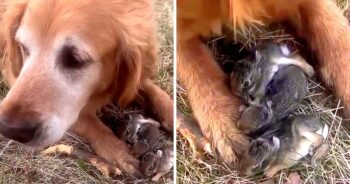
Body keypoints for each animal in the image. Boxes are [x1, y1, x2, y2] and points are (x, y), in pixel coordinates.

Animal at [0, 0, 174, 174]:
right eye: (22, 47)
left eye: (75, 60)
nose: (9, 129)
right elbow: (90, 123)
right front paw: (117, 151)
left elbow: (155, 93)